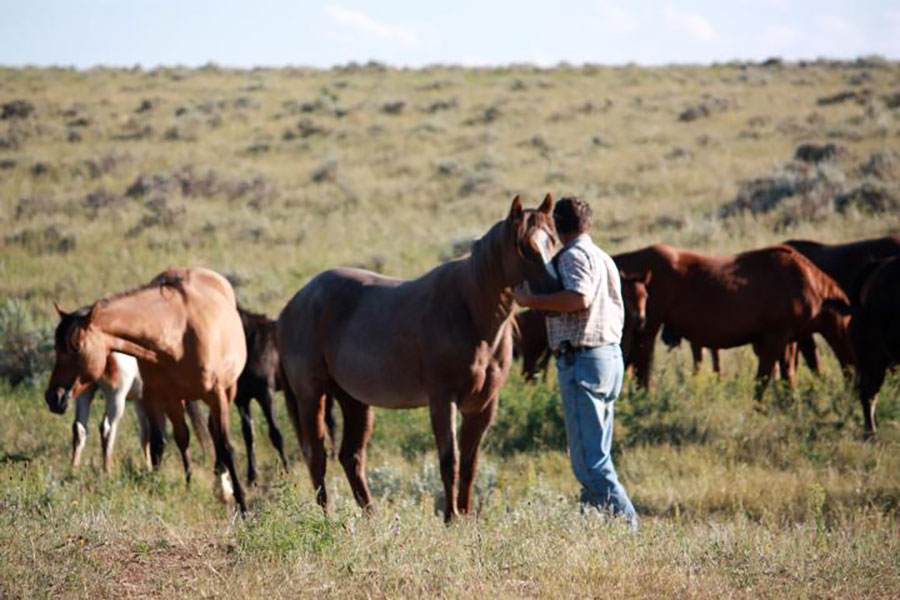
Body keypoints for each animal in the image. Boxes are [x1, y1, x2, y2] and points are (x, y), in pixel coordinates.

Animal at [46, 268, 249, 513]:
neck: (178, 335)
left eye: (76, 347)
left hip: (227, 391)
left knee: (215, 434)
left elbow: (226, 445)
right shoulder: (161, 396)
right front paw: (177, 485)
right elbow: (168, 441)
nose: (53, 397)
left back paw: (223, 485)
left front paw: (242, 501)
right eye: (56, 347)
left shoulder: (216, 395)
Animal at [276, 194, 559, 521]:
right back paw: (330, 519)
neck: (470, 313)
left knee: (351, 456)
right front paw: (451, 518)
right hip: (311, 395)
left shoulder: (483, 405)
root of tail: (294, 304)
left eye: (552, 240)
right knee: (317, 456)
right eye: (526, 247)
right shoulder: (443, 400)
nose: (556, 290)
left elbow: (470, 464)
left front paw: (465, 516)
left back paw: (372, 518)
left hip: (354, 400)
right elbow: (449, 460)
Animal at [614, 244, 854, 400]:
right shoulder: (774, 339)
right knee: (642, 363)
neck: (804, 281)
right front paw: (759, 408)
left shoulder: (788, 341)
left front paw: (789, 401)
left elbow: (787, 375)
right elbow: (763, 377)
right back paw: (644, 398)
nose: (854, 378)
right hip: (648, 329)